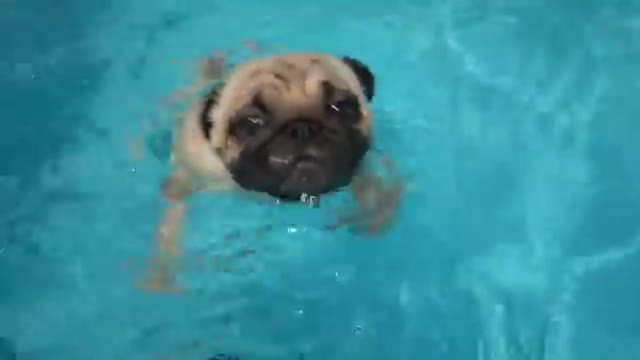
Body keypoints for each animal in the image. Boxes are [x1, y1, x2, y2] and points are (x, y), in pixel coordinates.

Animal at [141, 52, 404, 292]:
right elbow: (169, 230)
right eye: (253, 120)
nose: (302, 128)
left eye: (341, 106)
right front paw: (161, 275)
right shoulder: (187, 181)